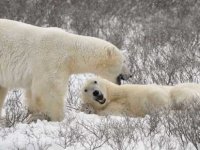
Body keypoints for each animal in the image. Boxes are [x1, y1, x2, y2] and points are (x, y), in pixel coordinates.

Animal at [0, 19, 130, 122]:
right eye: (124, 61)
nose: (130, 75)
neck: (70, 51)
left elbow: (33, 93)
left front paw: (34, 114)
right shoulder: (51, 60)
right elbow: (49, 90)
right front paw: (58, 118)